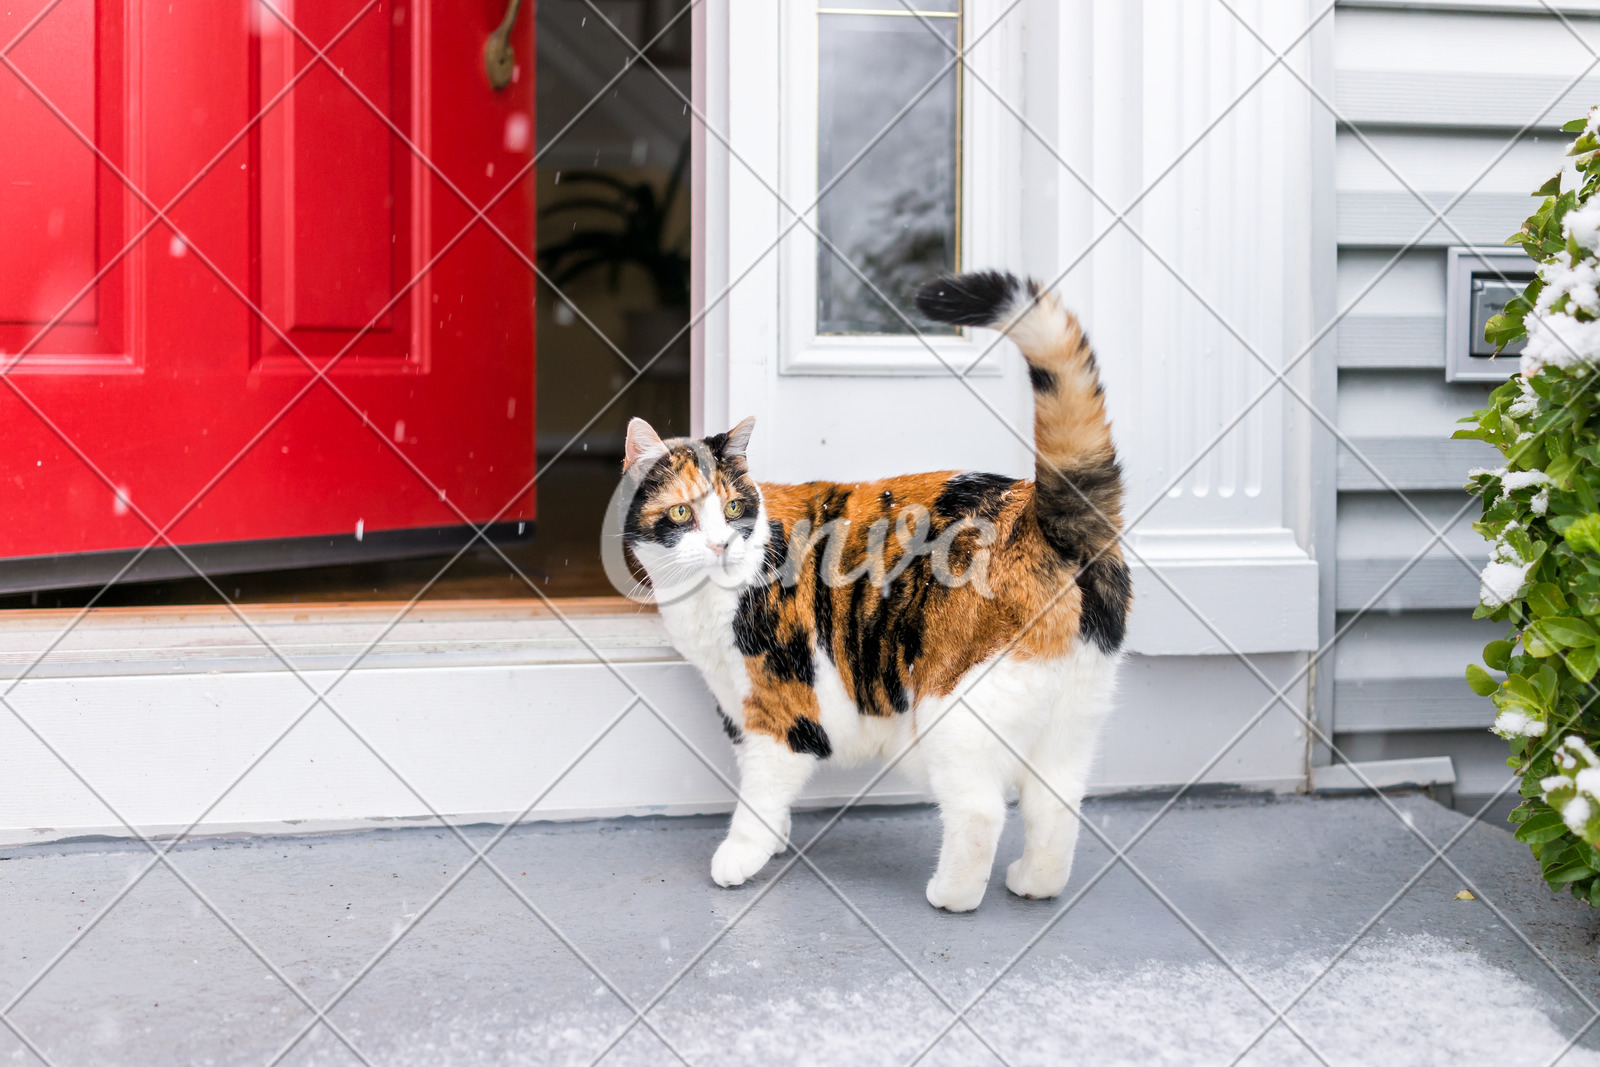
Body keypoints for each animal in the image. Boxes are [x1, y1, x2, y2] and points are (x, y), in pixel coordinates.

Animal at [611, 271, 1126, 915]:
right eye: (682, 512)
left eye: (732, 509)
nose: (721, 545)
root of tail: (1041, 516)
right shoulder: (737, 703)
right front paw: (777, 841)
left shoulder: (781, 703)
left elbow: (761, 788)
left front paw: (743, 854)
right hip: (1073, 712)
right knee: (1055, 804)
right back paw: (1036, 883)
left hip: (955, 707)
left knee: (980, 810)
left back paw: (951, 895)